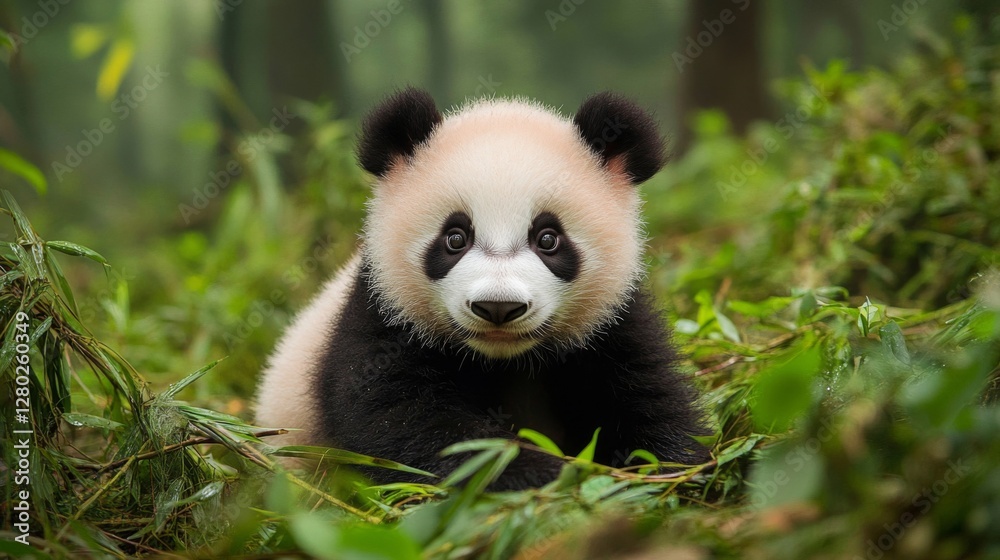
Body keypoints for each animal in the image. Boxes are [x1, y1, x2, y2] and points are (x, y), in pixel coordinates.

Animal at [255, 88, 708, 490]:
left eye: (548, 239)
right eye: (455, 238)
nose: (498, 307)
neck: (503, 360)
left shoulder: (610, 323)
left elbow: (648, 401)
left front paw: (668, 470)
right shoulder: (382, 317)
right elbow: (402, 419)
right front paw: (535, 473)